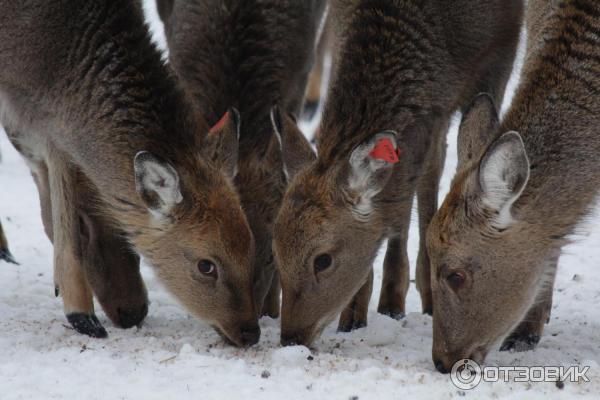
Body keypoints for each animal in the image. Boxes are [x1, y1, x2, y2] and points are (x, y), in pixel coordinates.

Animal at [270, 0, 524, 346]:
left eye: (322, 259)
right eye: (275, 250)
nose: (291, 337)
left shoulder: (497, 56)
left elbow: (424, 179)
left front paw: (394, 303)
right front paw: (355, 314)